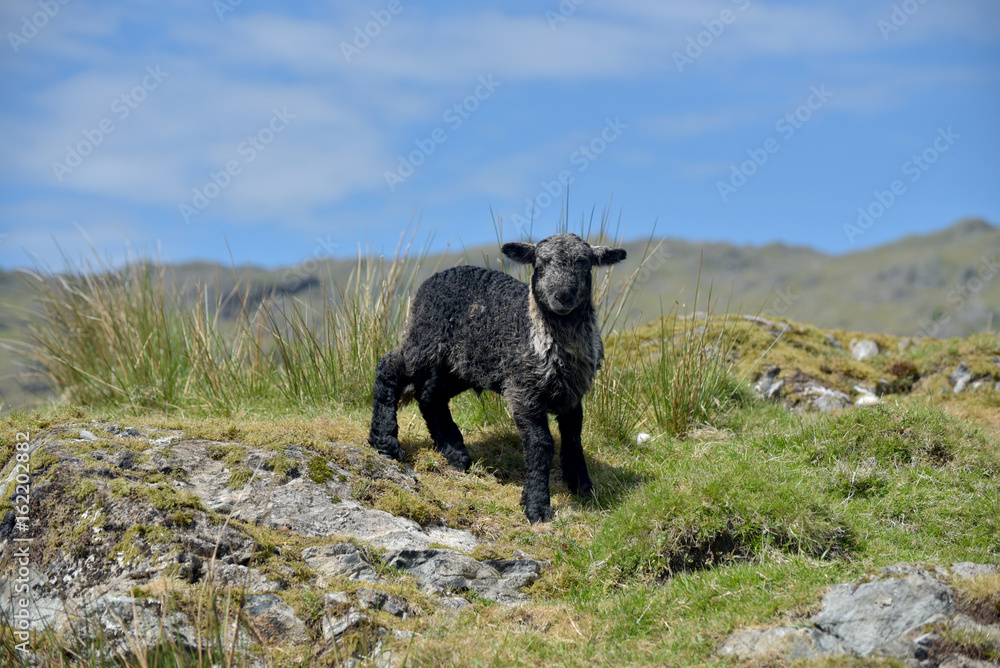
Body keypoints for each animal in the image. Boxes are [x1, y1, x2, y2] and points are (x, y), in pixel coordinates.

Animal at [367, 233, 627, 523]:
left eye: (584, 264)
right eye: (541, 263)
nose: (562, 296)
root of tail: (439, 275)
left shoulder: (572, 392)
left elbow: (573, 438)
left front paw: (582, 486)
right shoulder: (523, 389)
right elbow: (541, 443)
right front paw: (537, 506)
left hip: (463, 363)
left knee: (430, 396)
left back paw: (455, 453)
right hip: (425, 338)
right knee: (389, 366)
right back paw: (385, 442)